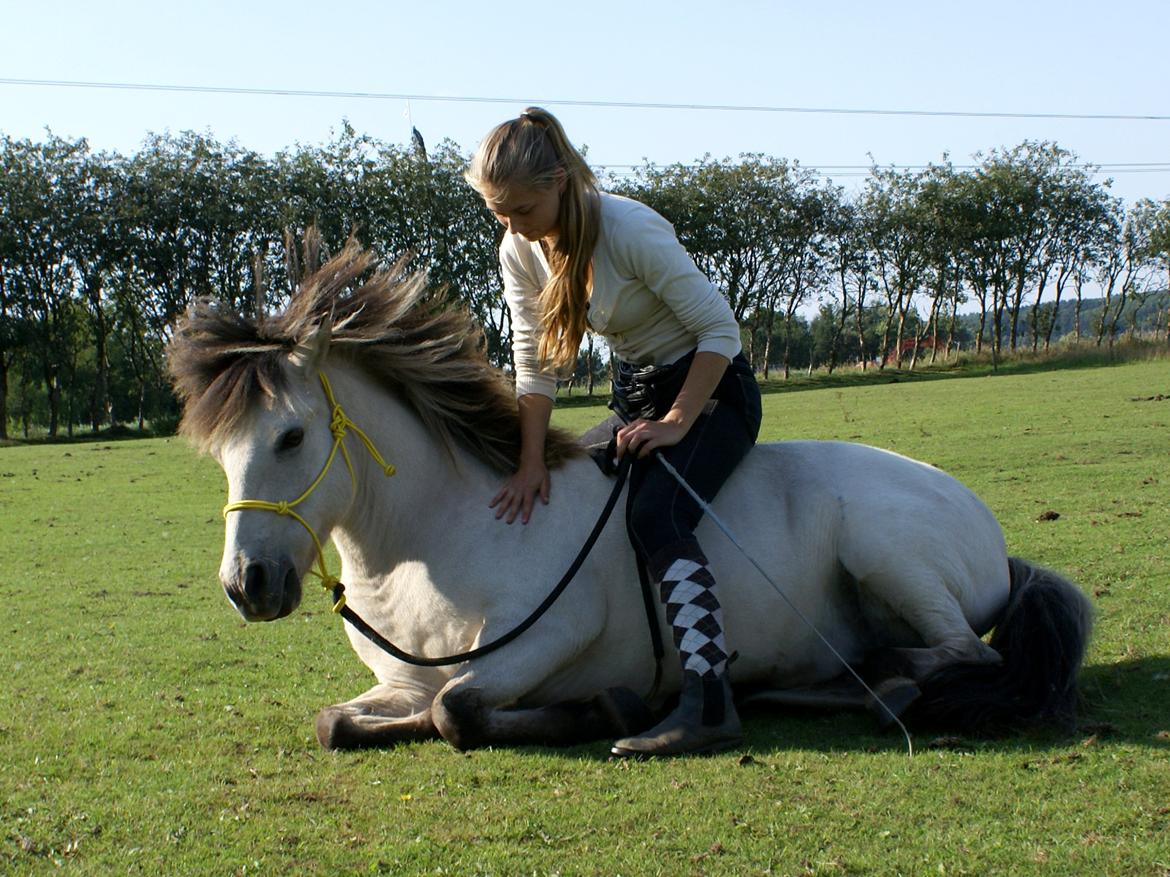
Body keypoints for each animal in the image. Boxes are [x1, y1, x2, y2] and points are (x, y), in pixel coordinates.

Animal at [169, 240, 1090, 757]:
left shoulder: (548, 639)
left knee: (960, 656)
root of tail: (986, 526)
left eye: (291, 437)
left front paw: (599, 706)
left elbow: (456, 710)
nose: (247, 585)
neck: (439, 536)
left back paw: (865, 683)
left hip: (886, 548)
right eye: (217, 450)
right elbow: (342, 721)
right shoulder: (396, 681)